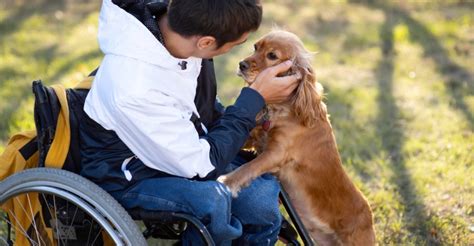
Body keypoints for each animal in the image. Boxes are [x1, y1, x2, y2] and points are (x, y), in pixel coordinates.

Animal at [217, 31, 376, 246]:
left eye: (272, 55)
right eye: (255, 47)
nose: (241, 64)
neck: (282, 109)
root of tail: (370, 216)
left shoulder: (276, 153)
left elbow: (249, 167)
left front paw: (227, 181)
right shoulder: (252, 138)